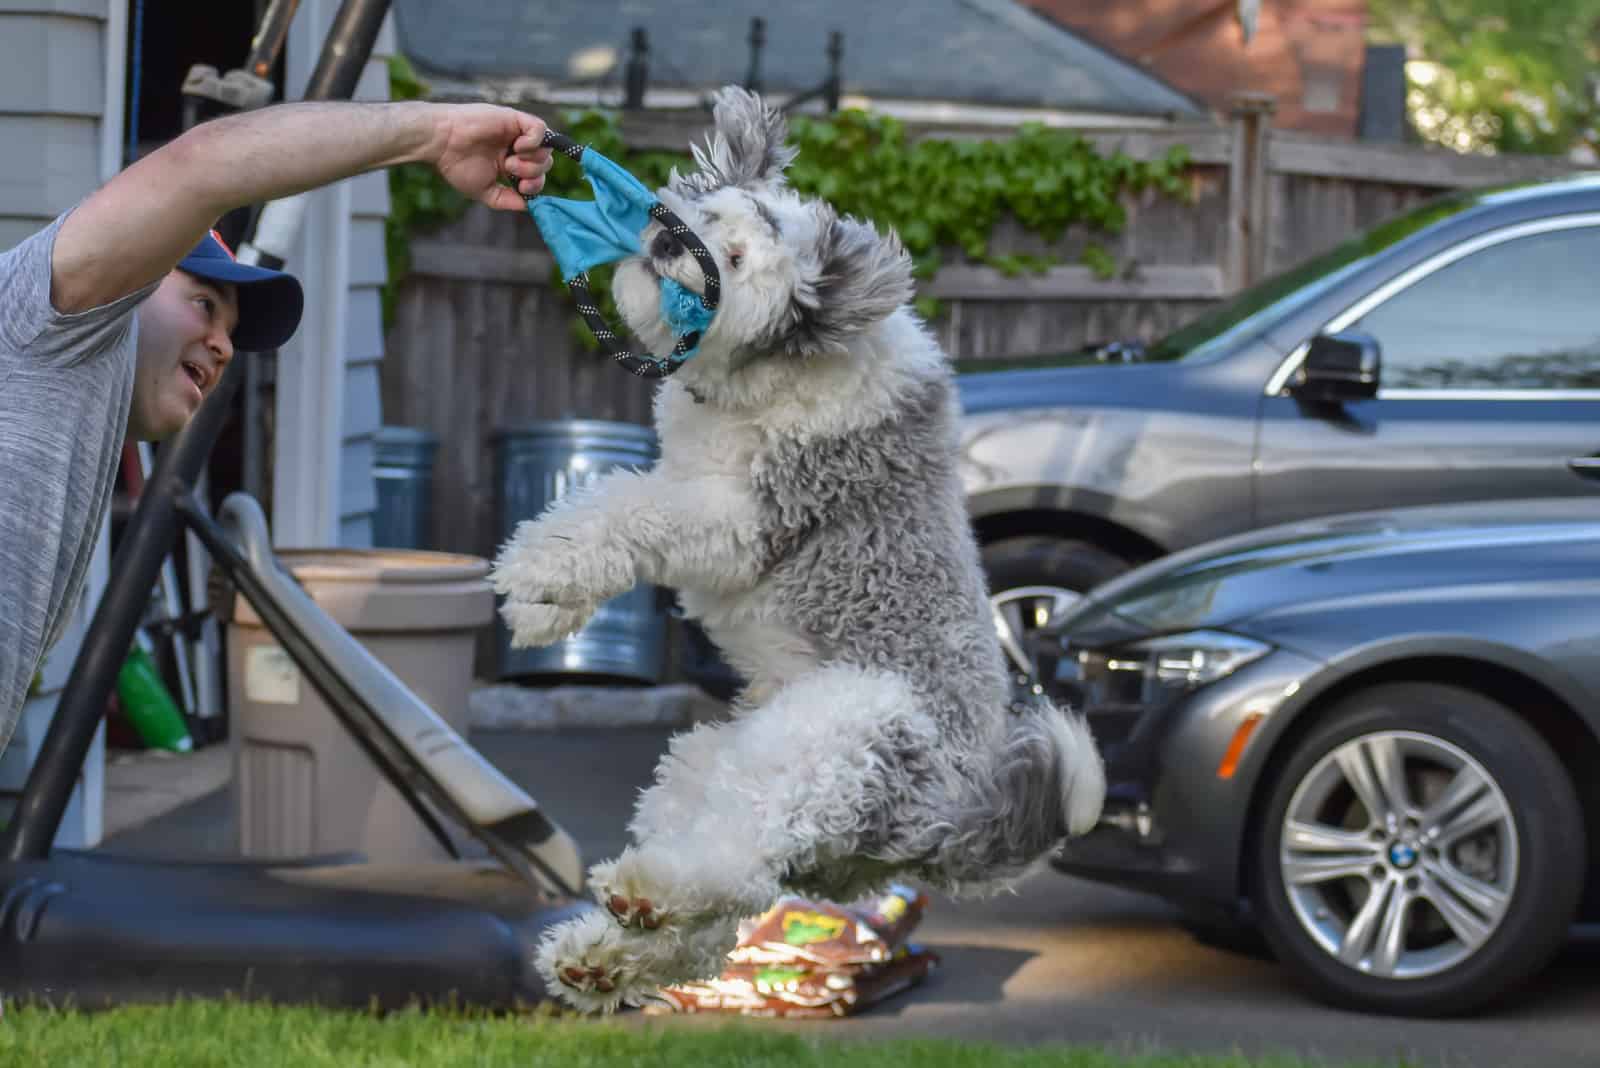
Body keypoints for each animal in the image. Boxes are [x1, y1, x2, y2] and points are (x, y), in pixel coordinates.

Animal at [492, 85, 1107, 1010]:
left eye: (736, 257)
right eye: (701, 215)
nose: (666, 239)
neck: (778, 364)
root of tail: (958, 819)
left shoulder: (739, 516)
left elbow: (628, 508)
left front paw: (537, 572)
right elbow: (613, 508)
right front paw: (543, 607)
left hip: (840, 733)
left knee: (737, 862)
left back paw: (645, 901)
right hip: (717, 762)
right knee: (720, 904)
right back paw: (603, 952)